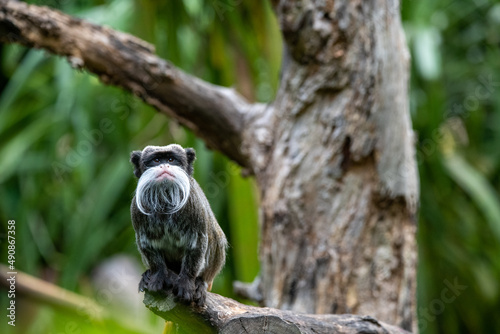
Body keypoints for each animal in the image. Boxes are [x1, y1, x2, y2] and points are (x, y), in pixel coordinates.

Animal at [131, 144, 229, 306]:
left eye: (171, 159)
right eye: (156, 160)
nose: (164, 165)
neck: (165, 198)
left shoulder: (194, 206)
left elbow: (197, 245)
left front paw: (186, 283)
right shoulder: (137, 212)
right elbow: (148, 246)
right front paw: (157, 277)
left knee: (215, 236)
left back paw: (201, 282)